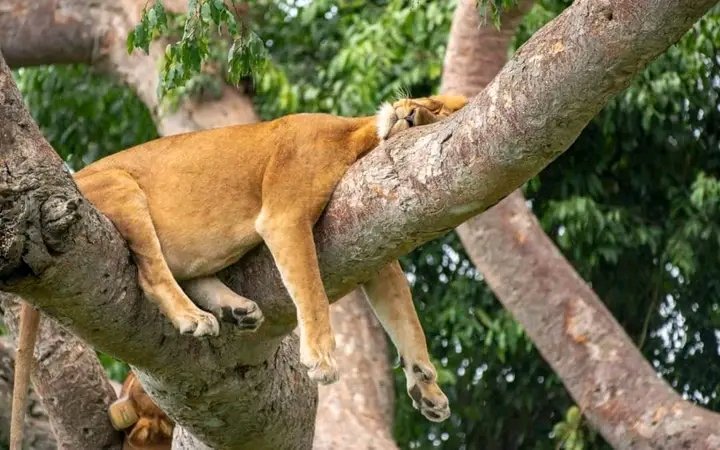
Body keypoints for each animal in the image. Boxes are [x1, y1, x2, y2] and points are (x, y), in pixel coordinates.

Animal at [11, 94, 467, 449]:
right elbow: (312, 292)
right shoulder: (284, 216)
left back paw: (236, 309)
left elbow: (405, 318)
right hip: (122, 188)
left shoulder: (372, 235)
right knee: (151, 273)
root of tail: (74, 180)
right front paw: (321, 358)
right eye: (433, 105)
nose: (411, 114)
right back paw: (194, 317)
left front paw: (427, 387)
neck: (356, 137)